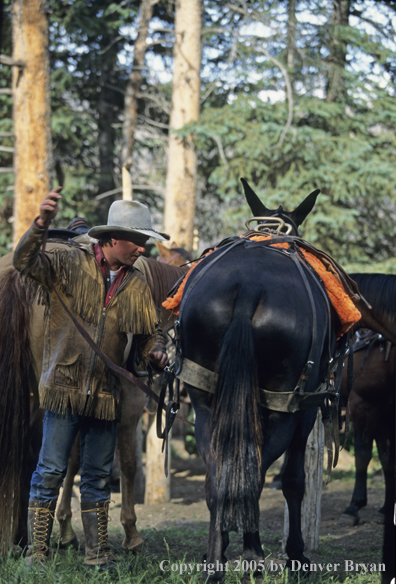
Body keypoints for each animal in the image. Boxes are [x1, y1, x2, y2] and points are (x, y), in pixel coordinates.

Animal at [172, 180, 358, 580]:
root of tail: (250, 287)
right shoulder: (306, 411)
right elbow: (292, 480)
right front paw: (296, 556)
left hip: (206, 402)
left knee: (220, 476)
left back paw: (217, 563)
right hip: (282, 410)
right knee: (253, 474)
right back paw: (253, 556)